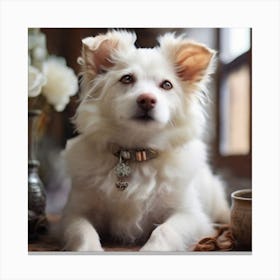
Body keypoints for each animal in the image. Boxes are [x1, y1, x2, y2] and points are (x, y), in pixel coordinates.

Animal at [59, 30, 230, 252]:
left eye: (167, 85)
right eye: (126, 79)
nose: (147, 99)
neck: (137, 152)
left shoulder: (191, 216)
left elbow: (164, 230)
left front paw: (151, 249)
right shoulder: (73, 213)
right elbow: (82, 231)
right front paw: (89, 249)